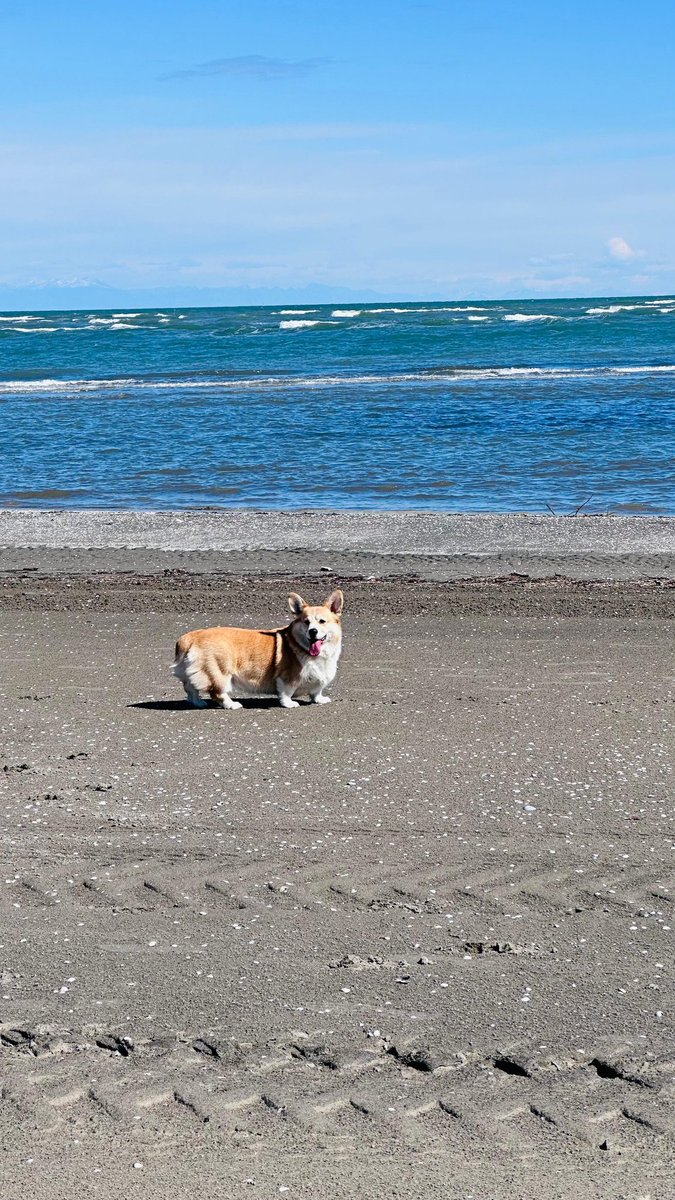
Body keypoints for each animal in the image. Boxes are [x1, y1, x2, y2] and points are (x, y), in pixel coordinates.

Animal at [170, 592, 343, 705]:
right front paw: (289, 703)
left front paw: (319, 699)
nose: (312, 631)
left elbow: (316, 691)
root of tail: (191, 637)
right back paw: (231, 705)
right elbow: (286, 692)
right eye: (306, 622)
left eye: (322, 621)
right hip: (219, 671)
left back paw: (198, 703)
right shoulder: (287, 677)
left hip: (193, 672)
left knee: (191, 688)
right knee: (217, 693)